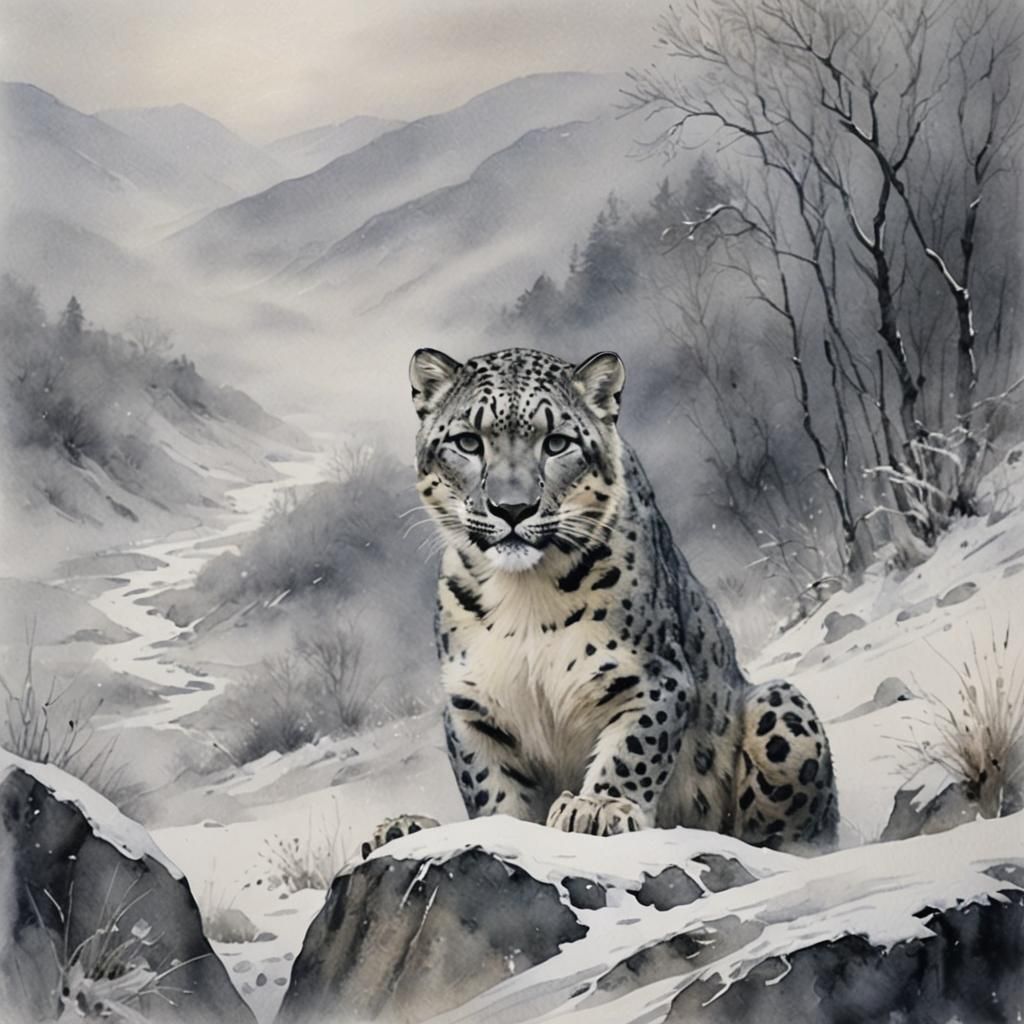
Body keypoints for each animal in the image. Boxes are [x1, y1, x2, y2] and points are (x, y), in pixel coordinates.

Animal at [363, 346, 838, 857]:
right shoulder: (475, 706)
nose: (512, 509)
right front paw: (501, 827)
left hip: (780, 707)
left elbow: (633, 748)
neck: (524, 596)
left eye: (557, 443)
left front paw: (596, 807)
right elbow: (492, 788)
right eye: (468, 442)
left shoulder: (652, 676)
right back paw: (399, 827)